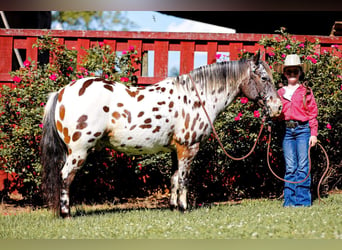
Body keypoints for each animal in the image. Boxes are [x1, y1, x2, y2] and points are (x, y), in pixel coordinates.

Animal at [40, 52, 282, 217]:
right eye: (264, 78)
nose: (277, 107)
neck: (197, 97)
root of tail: (62, 92)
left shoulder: (176, 149)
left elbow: (174, 178)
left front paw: (174, 207)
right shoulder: (188, 147)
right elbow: (184, 178)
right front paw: (184, 208)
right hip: (78, 151)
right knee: (65, 176)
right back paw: (66, 213)